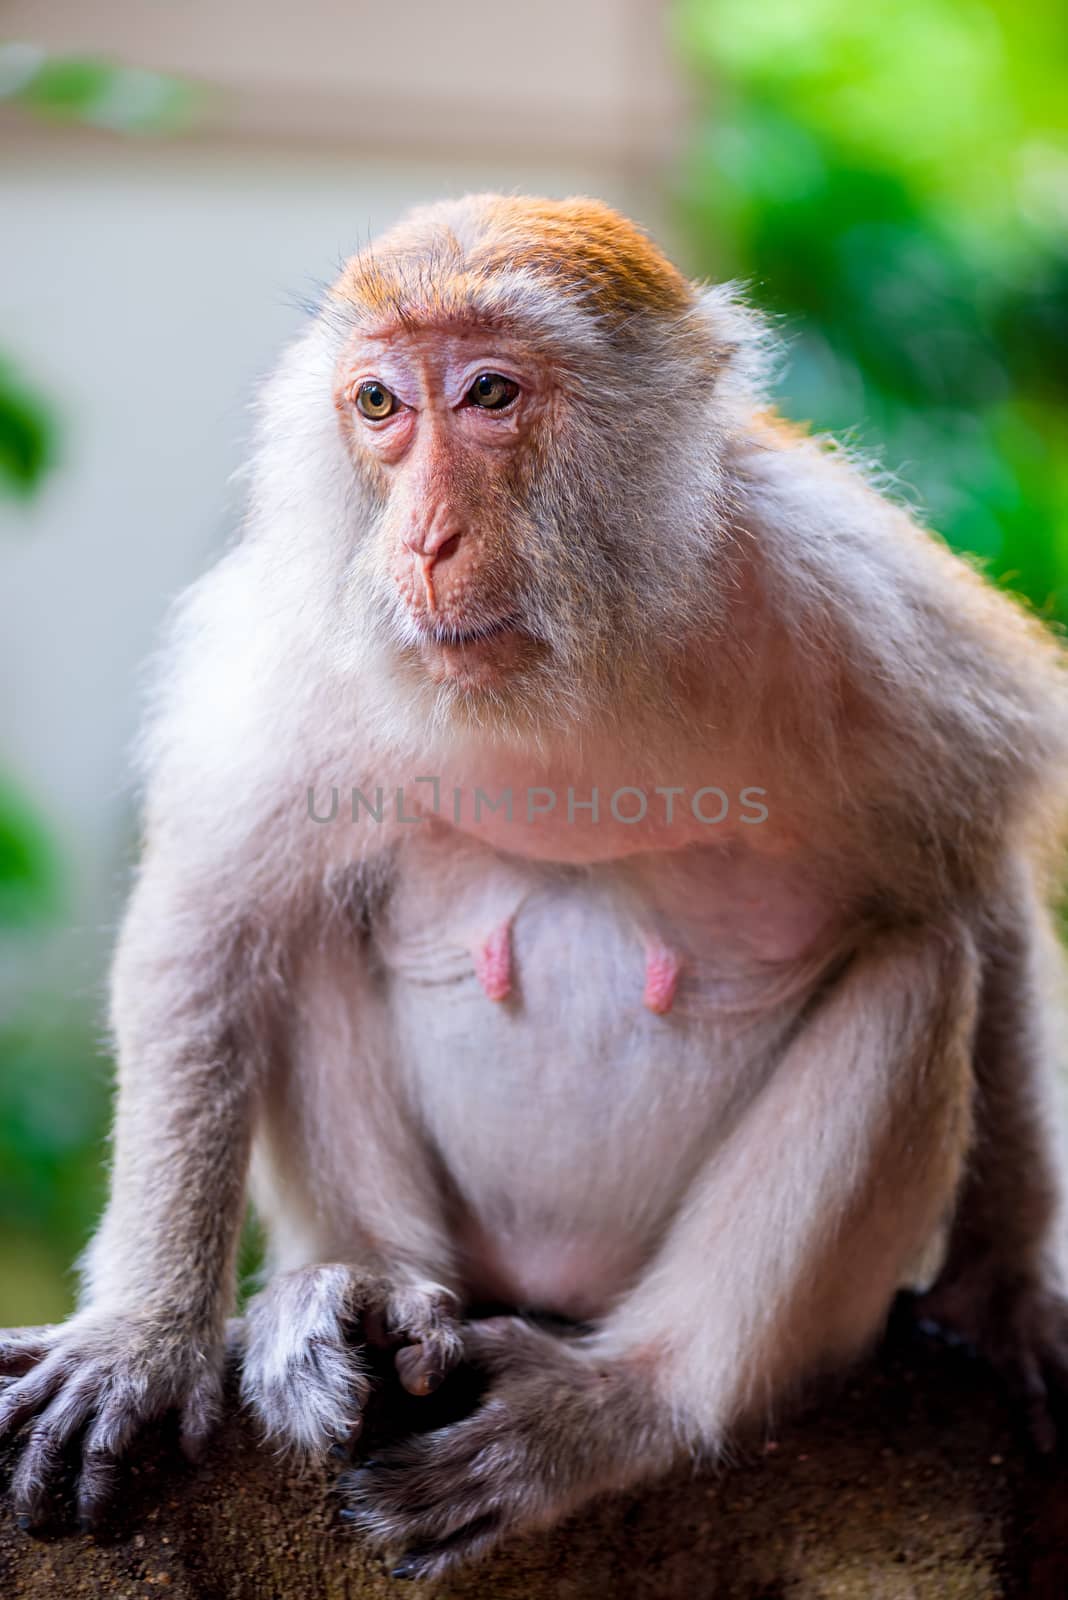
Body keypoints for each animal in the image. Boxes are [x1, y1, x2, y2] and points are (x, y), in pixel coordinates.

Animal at [2, 190, 1068, 1574]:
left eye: (492, 393)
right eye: (381, 404)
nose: (425, 537)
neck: (574, 662)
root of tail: (553, 1287)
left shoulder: (864, 606)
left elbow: (974, 869)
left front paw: (1004, 1285)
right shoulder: (298, 635)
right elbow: (213, 919)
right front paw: (141, 1335)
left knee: (926, 959)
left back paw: (621, 1402)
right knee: (303, 929)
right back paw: (353, 1301)